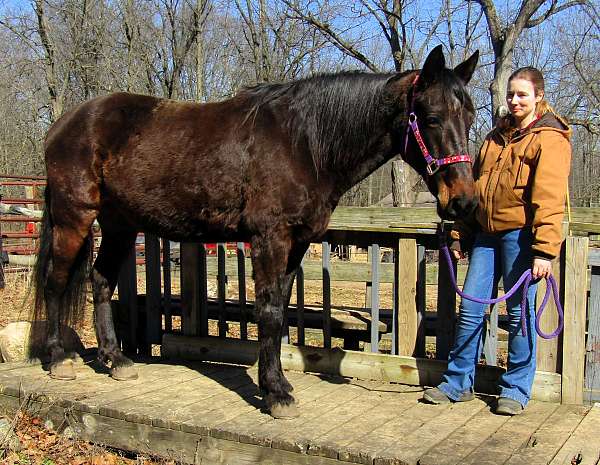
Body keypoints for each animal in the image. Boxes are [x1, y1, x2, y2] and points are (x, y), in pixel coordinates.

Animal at [32, 46, 480, 416]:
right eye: (432, 117)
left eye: (471, 116)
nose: (463, 201)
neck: (303, 143)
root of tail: (61, 125)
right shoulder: (270, 239)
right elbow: (268, 313)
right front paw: (276, 394)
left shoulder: (296, 244)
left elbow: (279, 311)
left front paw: (275, 383)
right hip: (75, 218)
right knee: (56, 282)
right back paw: (58, 360)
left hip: (120, 226)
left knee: (100, 280)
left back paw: (115, 359)